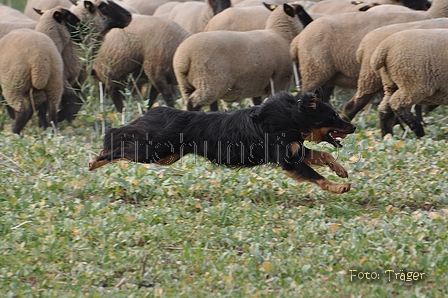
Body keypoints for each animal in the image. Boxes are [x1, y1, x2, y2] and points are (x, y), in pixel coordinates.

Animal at [89, 93, 356, 196]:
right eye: (334, 116)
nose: (354, 127)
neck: (292, 117)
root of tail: (158, 111)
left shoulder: (296, 150)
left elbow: (325, 156)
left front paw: (341, 171)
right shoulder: (288, 160)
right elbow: (317, 176)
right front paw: (338, 187)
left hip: (166, 155)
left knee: (121, 140)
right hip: (153, 151)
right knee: (118, 144)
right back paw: (95, 160)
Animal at [173, 2, 314, 110]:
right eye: (301, 12)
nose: (312, 22)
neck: (281, 35)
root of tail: (184, 58)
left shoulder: (256, 84)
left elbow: (257, 104)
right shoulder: (279, 79)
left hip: (187, 86)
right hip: (208, 82)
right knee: (193, 104)